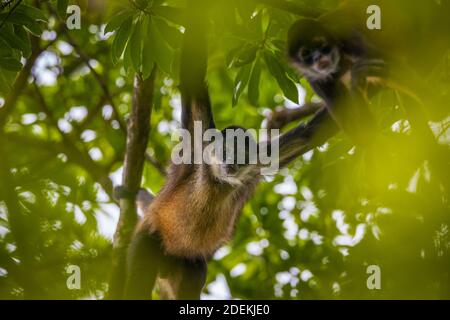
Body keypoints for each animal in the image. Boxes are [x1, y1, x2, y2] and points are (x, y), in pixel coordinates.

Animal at [123, 1, 342, 300]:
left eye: (242, 154)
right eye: (226, 150)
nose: (232, 163)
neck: (217, 181)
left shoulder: (257, 164)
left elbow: (310, 135)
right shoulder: (198, 145)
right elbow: (192, 80)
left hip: (183, 263)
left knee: (195, 272)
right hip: (152, 239)